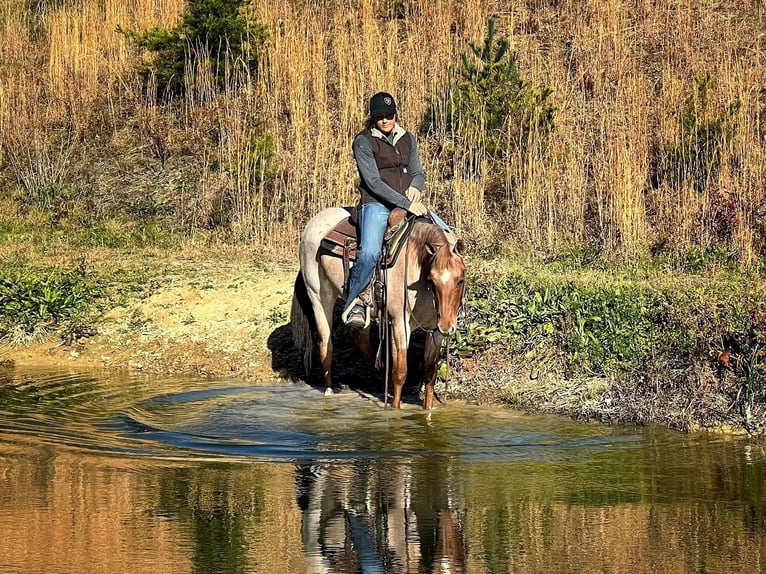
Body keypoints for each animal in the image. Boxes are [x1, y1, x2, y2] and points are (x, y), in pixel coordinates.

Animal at [292, 207, 464, 410]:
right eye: (432, 279)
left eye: (460, 280)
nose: (447, 326)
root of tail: (313, 223)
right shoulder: (400, 324)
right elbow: (400, 372)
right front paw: (395, 410)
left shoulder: (434, 331)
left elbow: (430, 373)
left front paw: (427, 409)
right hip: (319, 297)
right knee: (326, 346)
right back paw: (329, 392)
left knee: (360, 336)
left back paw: (383, 381)